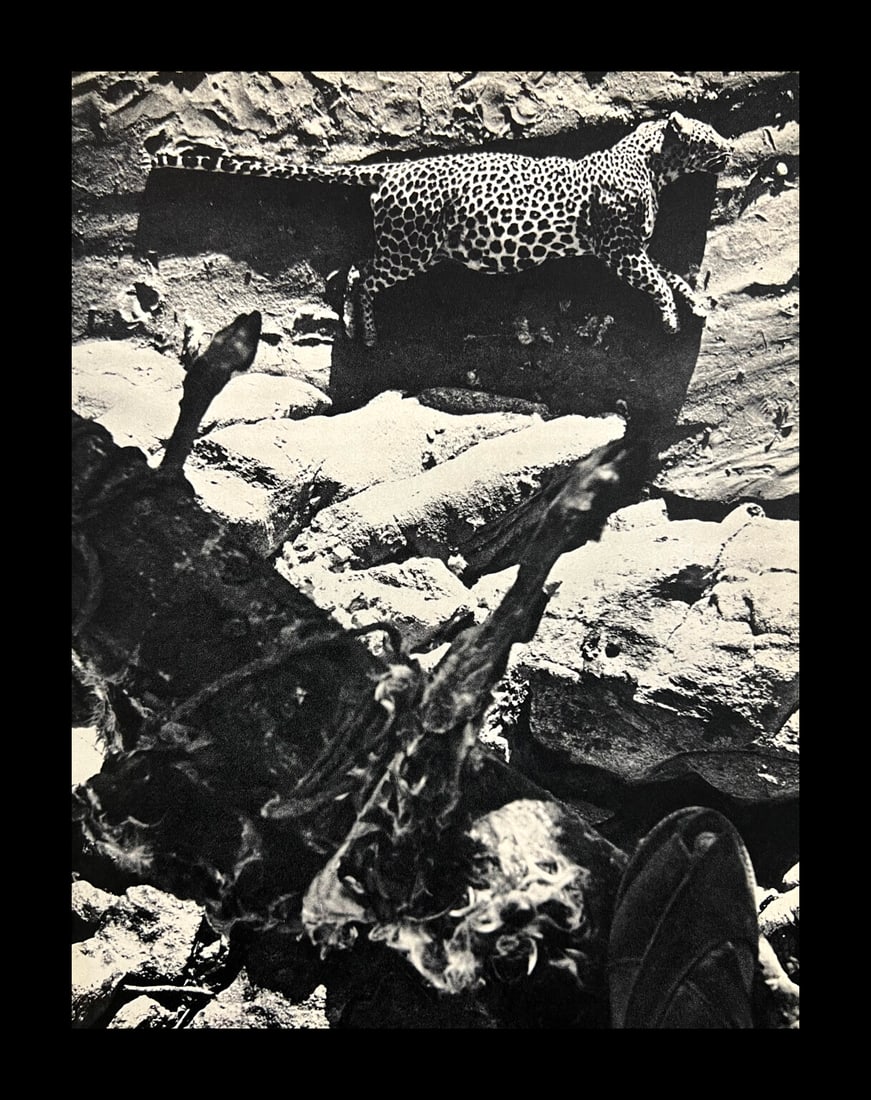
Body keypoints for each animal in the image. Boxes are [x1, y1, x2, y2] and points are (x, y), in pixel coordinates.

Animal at [146, 111, 731, 347]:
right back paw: (366, 332)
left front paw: (694, 301)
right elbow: (654, 279)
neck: (651, 159)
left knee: (352, 270)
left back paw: (360, 328)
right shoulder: (618, 247)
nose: (730, 147)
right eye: (710, 135)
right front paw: (671, 319)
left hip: (406, 248)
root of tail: (387, 168)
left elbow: (670, 271)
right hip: (412, 249)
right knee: (360, 274)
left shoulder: (631, 247)